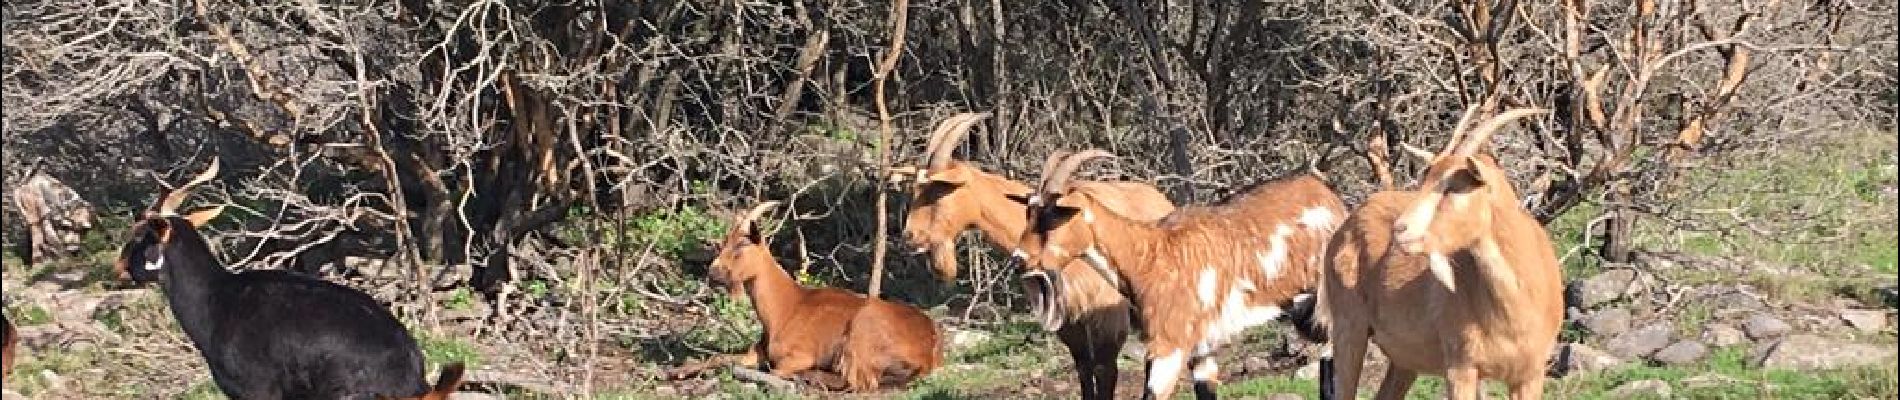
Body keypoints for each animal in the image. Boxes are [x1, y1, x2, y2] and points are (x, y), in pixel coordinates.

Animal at [706, 201, 942, 392]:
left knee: (856, 383)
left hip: (861, 334)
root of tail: (929, 351)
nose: (713, 272)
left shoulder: (800, 356)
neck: (785, 308)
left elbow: (775, 370)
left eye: (742, 245)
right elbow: (718, 357)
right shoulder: (756, 353)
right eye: (723, 243)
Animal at [885, 110, 1178, 398]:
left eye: (938, 191)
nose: (910, 238)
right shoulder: (1069, 326)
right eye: (915, 189)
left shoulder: (1108, 321)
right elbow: (1084, 371)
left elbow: (1105, 373)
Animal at [1018, 150, 1345, 400]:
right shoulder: (1201, 349)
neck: (1149, 255)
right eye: (1030, 214)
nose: (1020, 259)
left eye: (1053, 216)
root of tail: (1329, 196)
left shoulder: (1169, 346)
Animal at [1314, 107, 1565, 400]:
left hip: (1404, 360)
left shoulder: (1530, 374)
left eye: (1454, 186)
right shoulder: (1460, 366)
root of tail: (1346, 225)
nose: (1400, 228)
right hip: (1349, 329)